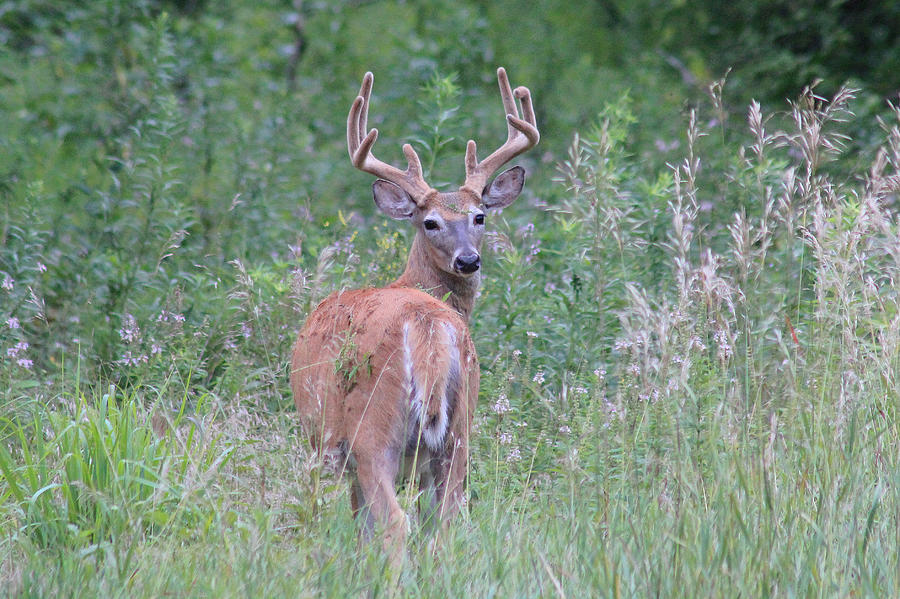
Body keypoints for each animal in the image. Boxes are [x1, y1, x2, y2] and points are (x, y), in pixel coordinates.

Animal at [292, 68, 536, 568]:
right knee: (444, 523)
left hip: (372, 431)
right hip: (460, 431)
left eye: (480, 216)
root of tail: (428, 326)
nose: (468, 261)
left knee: (394, 524)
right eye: (430, 222)